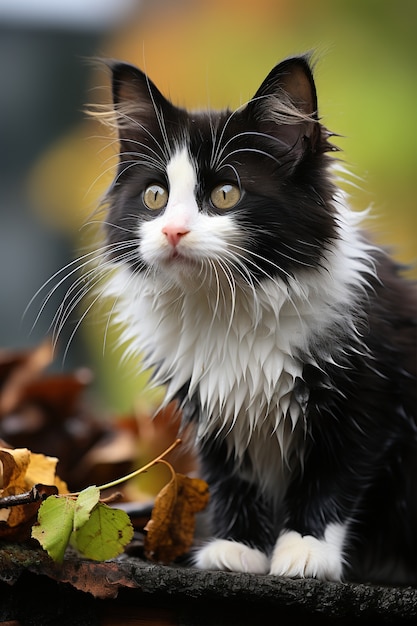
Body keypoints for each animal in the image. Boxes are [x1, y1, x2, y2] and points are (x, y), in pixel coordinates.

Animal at [96, 54, 412, 584]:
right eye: (155, 197)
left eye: (226, 194)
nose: (173, 231)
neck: (228, 310)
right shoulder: (213, 406)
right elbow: (233, 479)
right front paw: (237, 548)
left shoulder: (369, 399)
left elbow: (331, 476)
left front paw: (305, 551)